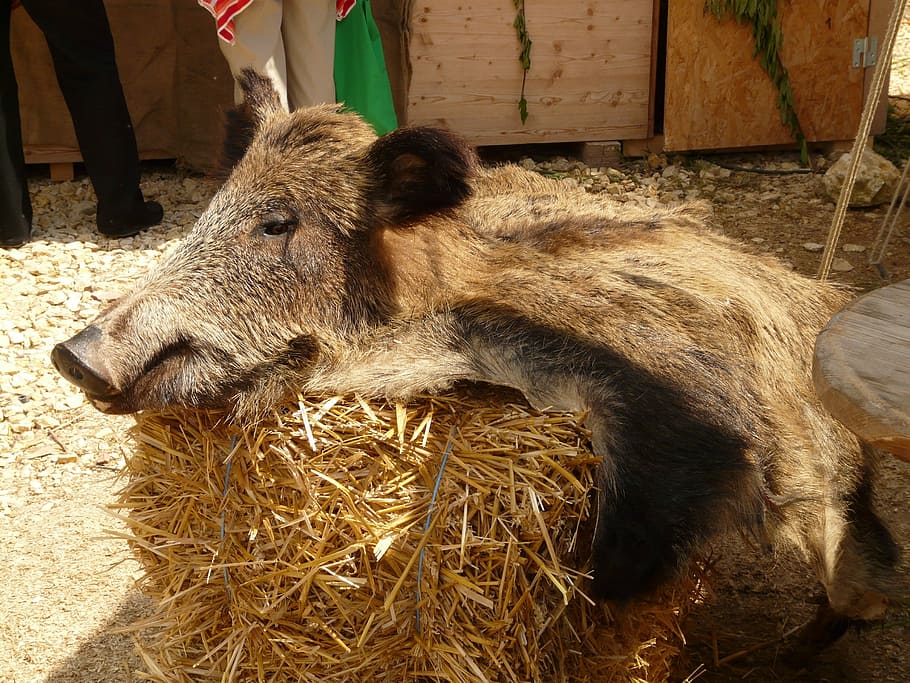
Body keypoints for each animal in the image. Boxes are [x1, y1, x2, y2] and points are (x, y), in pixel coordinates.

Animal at [52, 70, 899, 652]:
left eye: (277, 223)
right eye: (214, 205)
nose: (73, 354)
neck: (431, 306)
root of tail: (815, 292)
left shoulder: (670, 399)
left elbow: (634, 528)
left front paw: (598, 598)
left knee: (866, 565)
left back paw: (802, 646)